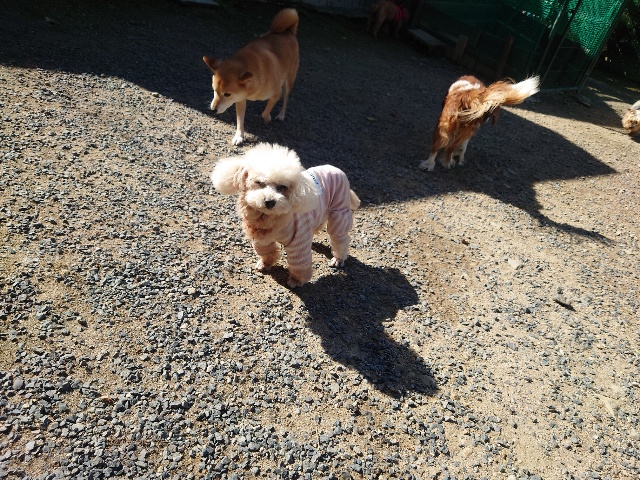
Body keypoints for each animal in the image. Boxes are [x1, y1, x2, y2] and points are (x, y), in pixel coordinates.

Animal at [203, 9, 299, 145]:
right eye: (214, 90)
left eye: (227, 94)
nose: (212, 110)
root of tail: (288, 31)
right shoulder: (240, 99)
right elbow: (240, 121)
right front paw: (239, 136)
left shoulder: (274, 95)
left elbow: (265, 113)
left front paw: (268, 118)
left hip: (289, 81)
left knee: (285, 99)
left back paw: (281, 114)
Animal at [211, 143, 360, 288]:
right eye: (259, 182)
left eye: (282, 187)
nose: (270, 202)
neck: (269, 219)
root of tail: (337, 170)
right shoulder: (261, 238)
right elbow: (267, 252)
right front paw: (265, 264)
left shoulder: (298, 241)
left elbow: (299, 263)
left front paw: (296, 281)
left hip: (339, 214)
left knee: (340, 239)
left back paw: (338, 259)